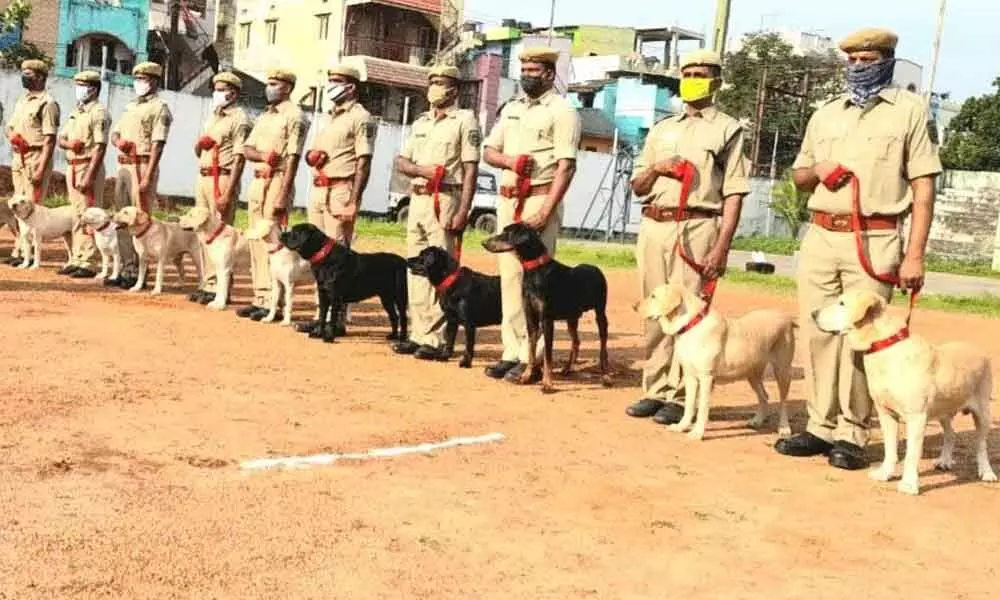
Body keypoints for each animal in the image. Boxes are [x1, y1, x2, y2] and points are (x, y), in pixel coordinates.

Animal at [278, 221, 406, 342]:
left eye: (295, 232)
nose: (281, 235)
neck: (325, 257)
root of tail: (404, 261)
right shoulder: (323, 294)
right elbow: (322, 316)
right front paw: (318, 334)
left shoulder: (335, 296)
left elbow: (333, 318)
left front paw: (329, 337)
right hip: (386, 298)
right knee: (394, 316)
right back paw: (393, 336)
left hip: (400, 296)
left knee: (403, 317)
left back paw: (401, 339)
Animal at [482, 221, 612, 394]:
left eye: (507, 233)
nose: (483, 242)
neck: (535, 270)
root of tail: (597, 269)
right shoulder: (531, 319)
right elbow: (531, 352)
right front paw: (525, 377)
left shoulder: (547, 320)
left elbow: (547, 356)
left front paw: (547, 384)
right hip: (572, 318)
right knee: (576, 342)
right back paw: (567, 369)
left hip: (600, 314)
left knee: (603, 348)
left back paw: (606, 376)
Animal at [640, 282, 796, 440]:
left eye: (653, 296)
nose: (635, 306)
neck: (692, 325)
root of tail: (787, 318)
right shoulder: (690, 376)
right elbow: (689, 405)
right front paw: (681, 427)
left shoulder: (706, 378)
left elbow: (702, 408)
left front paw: (697, 433)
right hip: (752, 373)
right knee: (764, 396)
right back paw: (757, 420)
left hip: (782, 371)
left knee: (783, 402)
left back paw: (784, 428)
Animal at [816, 288, 996, 494]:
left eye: (842, 303)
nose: (813, 314)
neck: (886, 349)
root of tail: (979, 350)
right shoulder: (886, 413)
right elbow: (890, 449)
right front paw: (884, 473)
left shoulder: (917, 417)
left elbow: (911, 454)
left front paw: (909, 484)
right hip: (943, 410)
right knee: (951, 434)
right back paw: (944, 460)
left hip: (982, 412)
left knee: (981, 445)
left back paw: (987, 472)